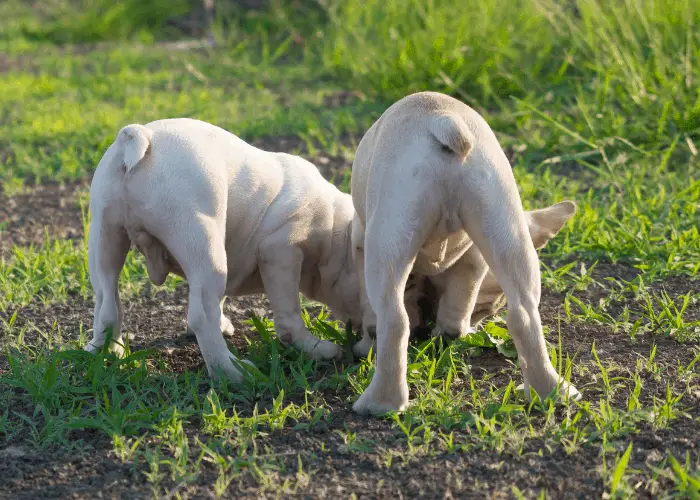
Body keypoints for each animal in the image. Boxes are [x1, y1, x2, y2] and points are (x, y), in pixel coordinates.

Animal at [86, 118, 360, 382]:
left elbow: (221, 299)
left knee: (106, 303)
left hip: (105, 237)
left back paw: (105, 351)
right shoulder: (281, 252)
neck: (337, 231)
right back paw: (233, 371)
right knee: (201, 315)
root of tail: (140, 136)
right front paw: (315, 348)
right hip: (202, 242)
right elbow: (289, 314)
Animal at [348, 92, 580, 416]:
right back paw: (551, 391)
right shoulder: (474, 260)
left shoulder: (360, 241)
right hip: (503, 223)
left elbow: (373, 315)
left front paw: (365, 345)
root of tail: (442, 119)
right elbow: (457, 308)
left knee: (393, 319)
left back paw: (380, 402)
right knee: (522, 315)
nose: (481, 317)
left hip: (387, 240)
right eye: (486, 309)